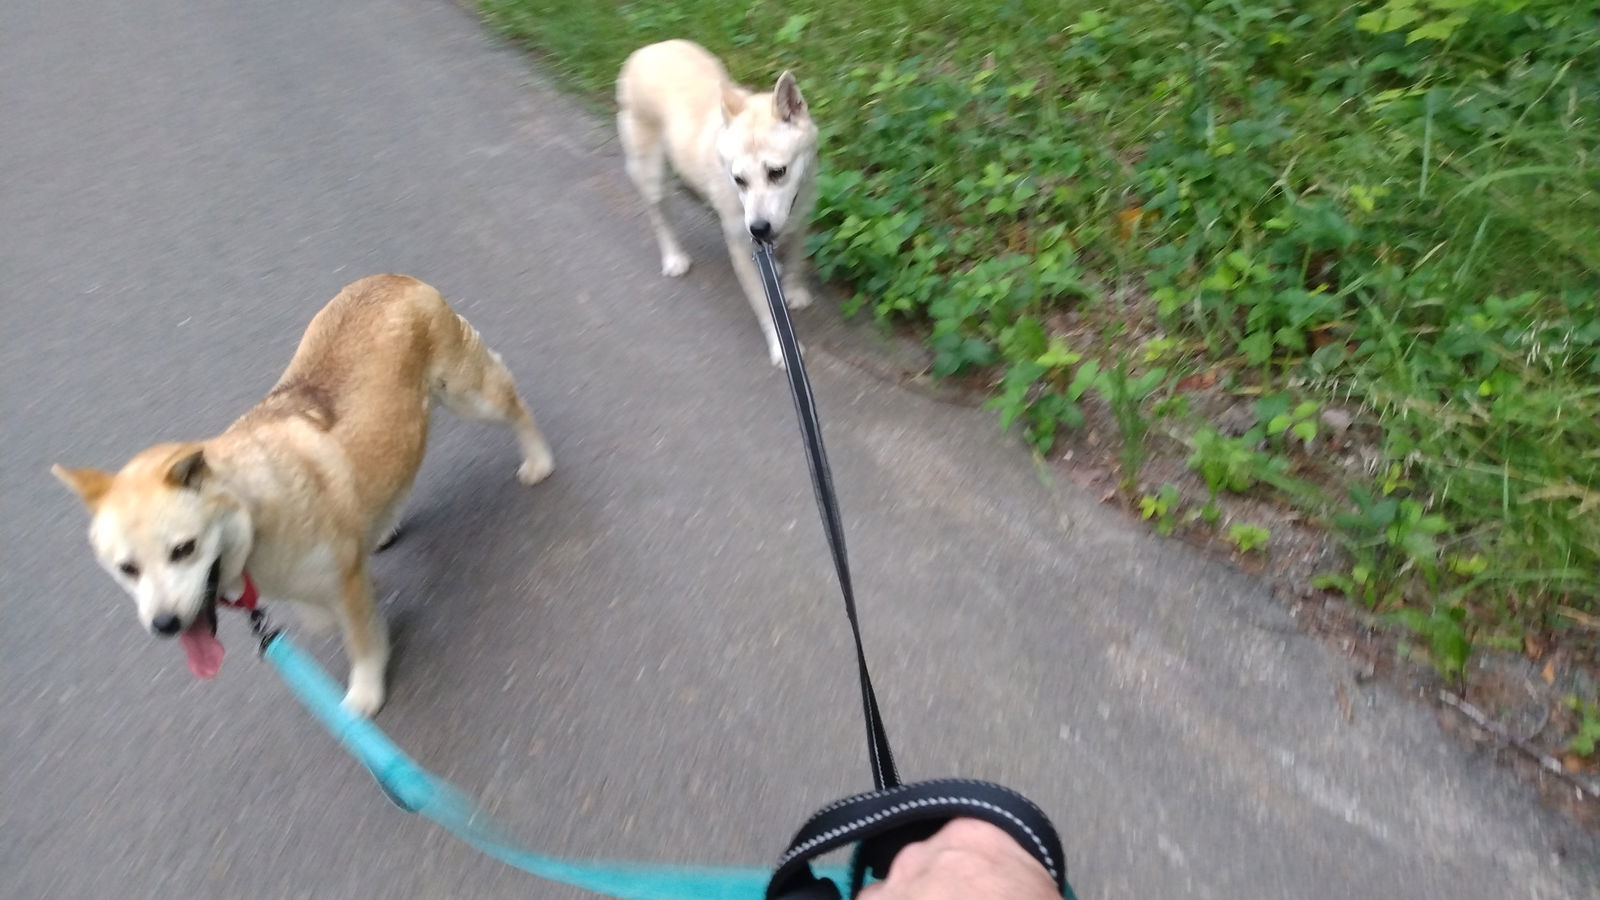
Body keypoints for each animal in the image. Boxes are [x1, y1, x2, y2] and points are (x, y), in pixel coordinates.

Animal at [53, 273, 553, 714]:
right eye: (127, 569)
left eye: (184, 549)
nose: (165, 625)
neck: (256, 517)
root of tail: (393, 278)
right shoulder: (316, 581)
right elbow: (322, 615)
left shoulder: (342, 581)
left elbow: (359, 637)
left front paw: (365, 690)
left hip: (470, 395)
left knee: (517, 407)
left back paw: (538, 460)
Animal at [611, 40, 812, 366]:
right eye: (738, 179)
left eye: (777, 172)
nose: (758, 229)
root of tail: (643, 51)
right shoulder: (742, 249)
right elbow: (766, 308)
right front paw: (781, 348)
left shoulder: (801, 217)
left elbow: (797, 259)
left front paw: (794, 289)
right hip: (651, 174)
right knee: (658, 215)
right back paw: (673, 258)